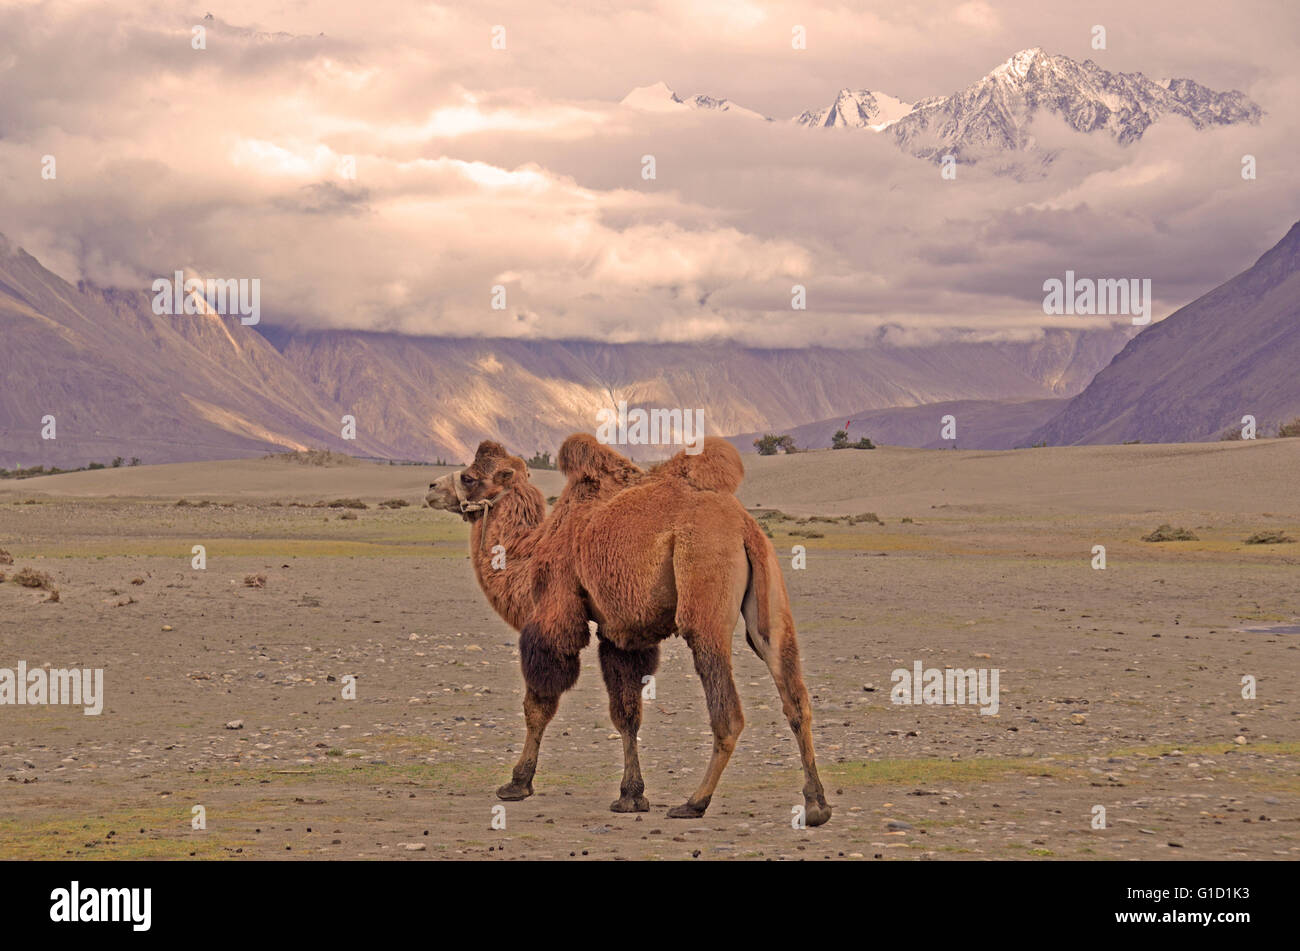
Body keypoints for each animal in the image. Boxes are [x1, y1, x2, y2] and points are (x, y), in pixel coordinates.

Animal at [427, 435, 831, 826]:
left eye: (469, 477)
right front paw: (631, 795)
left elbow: (538, 704)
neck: (534, 549)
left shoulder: (555, 612)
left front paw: (517, 783)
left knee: (728, 712)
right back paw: (816, 805)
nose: (431, 488)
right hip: (769, 599)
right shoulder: (621, 634)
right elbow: (626, 712)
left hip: (702, 591)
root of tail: (744, 527)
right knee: (794, 694)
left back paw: (694, 802)